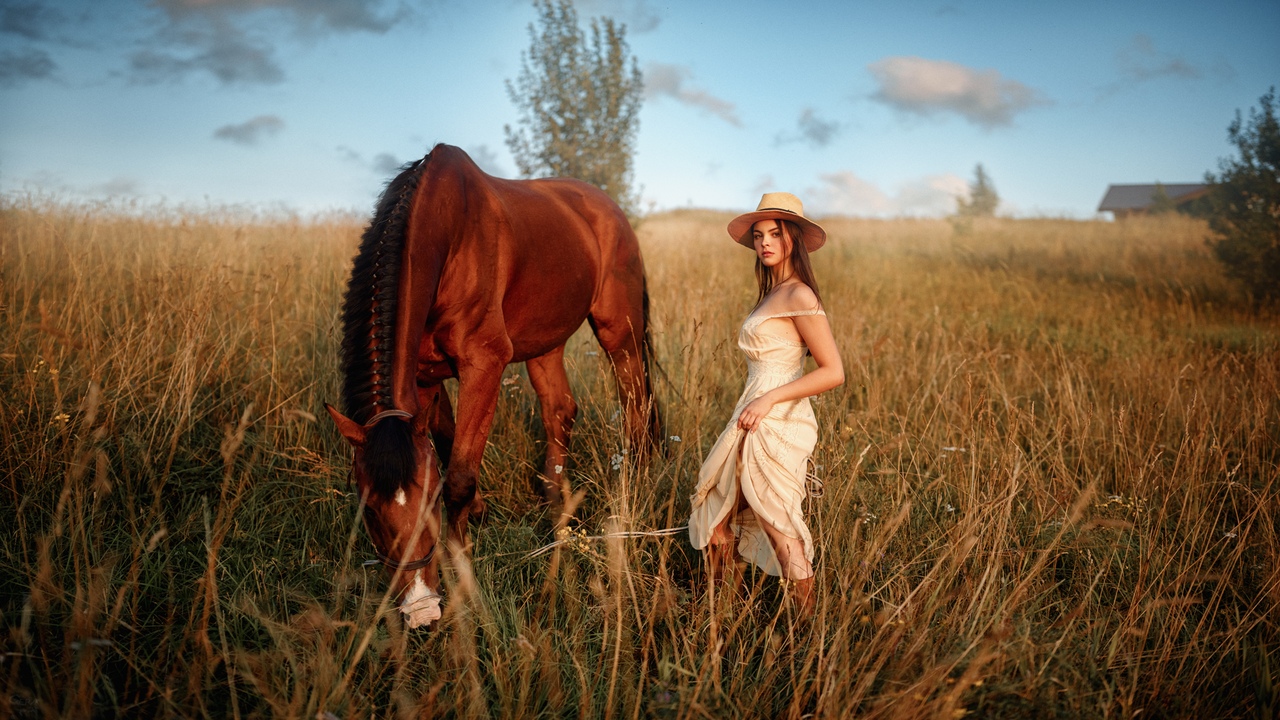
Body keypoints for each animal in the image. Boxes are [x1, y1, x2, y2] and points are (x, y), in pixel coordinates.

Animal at [322, 144, 660, 627]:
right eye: (368, 508)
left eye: (429, 501)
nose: (421, 610)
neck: (446, 233)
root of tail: (608, 208)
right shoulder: (424, 378)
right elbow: (447, 445)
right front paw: (478, 516)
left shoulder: (484, 364)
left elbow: (460, 476)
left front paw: (461, 567)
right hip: (545, 341)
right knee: (560, 409)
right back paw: (555, 504)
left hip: (620, 331)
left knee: (635, 405)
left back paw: (637, 482)